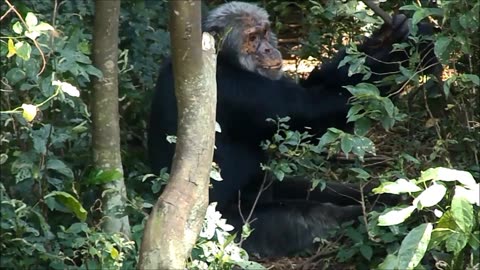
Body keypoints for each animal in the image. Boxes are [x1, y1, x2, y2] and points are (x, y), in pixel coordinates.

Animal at [148, 0, 440, 258]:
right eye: (252, 38)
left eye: (265, 32)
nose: (268, 49)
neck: (223, 61)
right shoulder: (238, 91)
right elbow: (311, 111)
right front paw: (411, 47)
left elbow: (316, 84)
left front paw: (395, 33)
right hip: (234, 230)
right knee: (313, 216)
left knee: (322, 189)